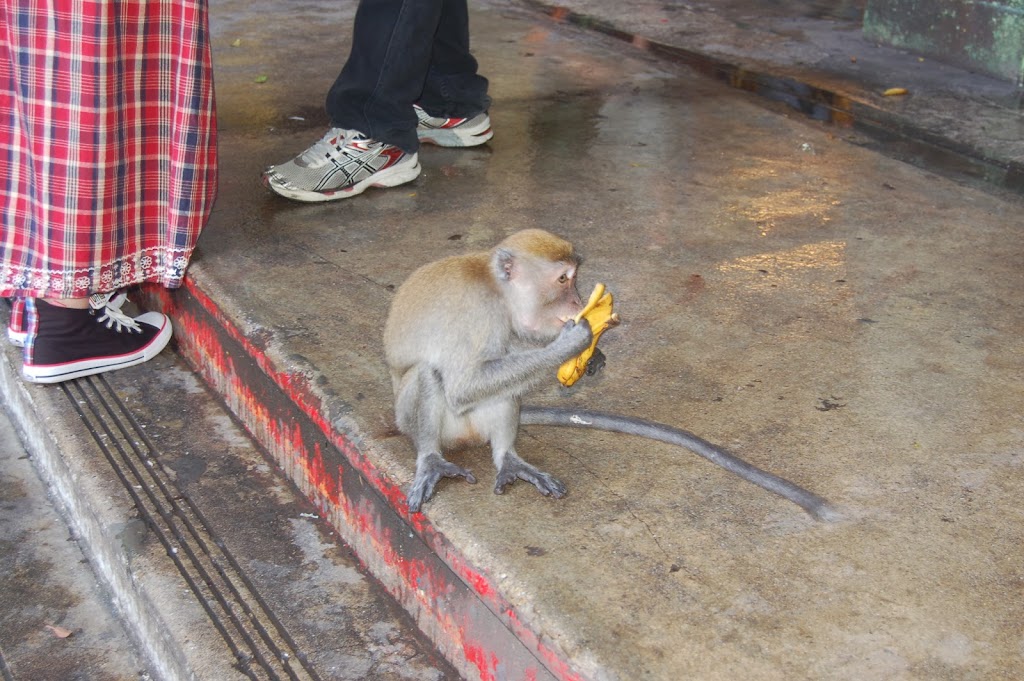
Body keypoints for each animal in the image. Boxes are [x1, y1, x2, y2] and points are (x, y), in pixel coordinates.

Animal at [385, 228, 839, 520]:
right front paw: (573, 343)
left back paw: (508, 458)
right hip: (420, 423)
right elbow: (464, 385)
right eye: (563, 279)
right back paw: (431, 458)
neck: (496, 289)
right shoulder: (476, 313)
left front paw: (592, 353)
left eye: (575, 279)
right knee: (429, 375)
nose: (577, 301)